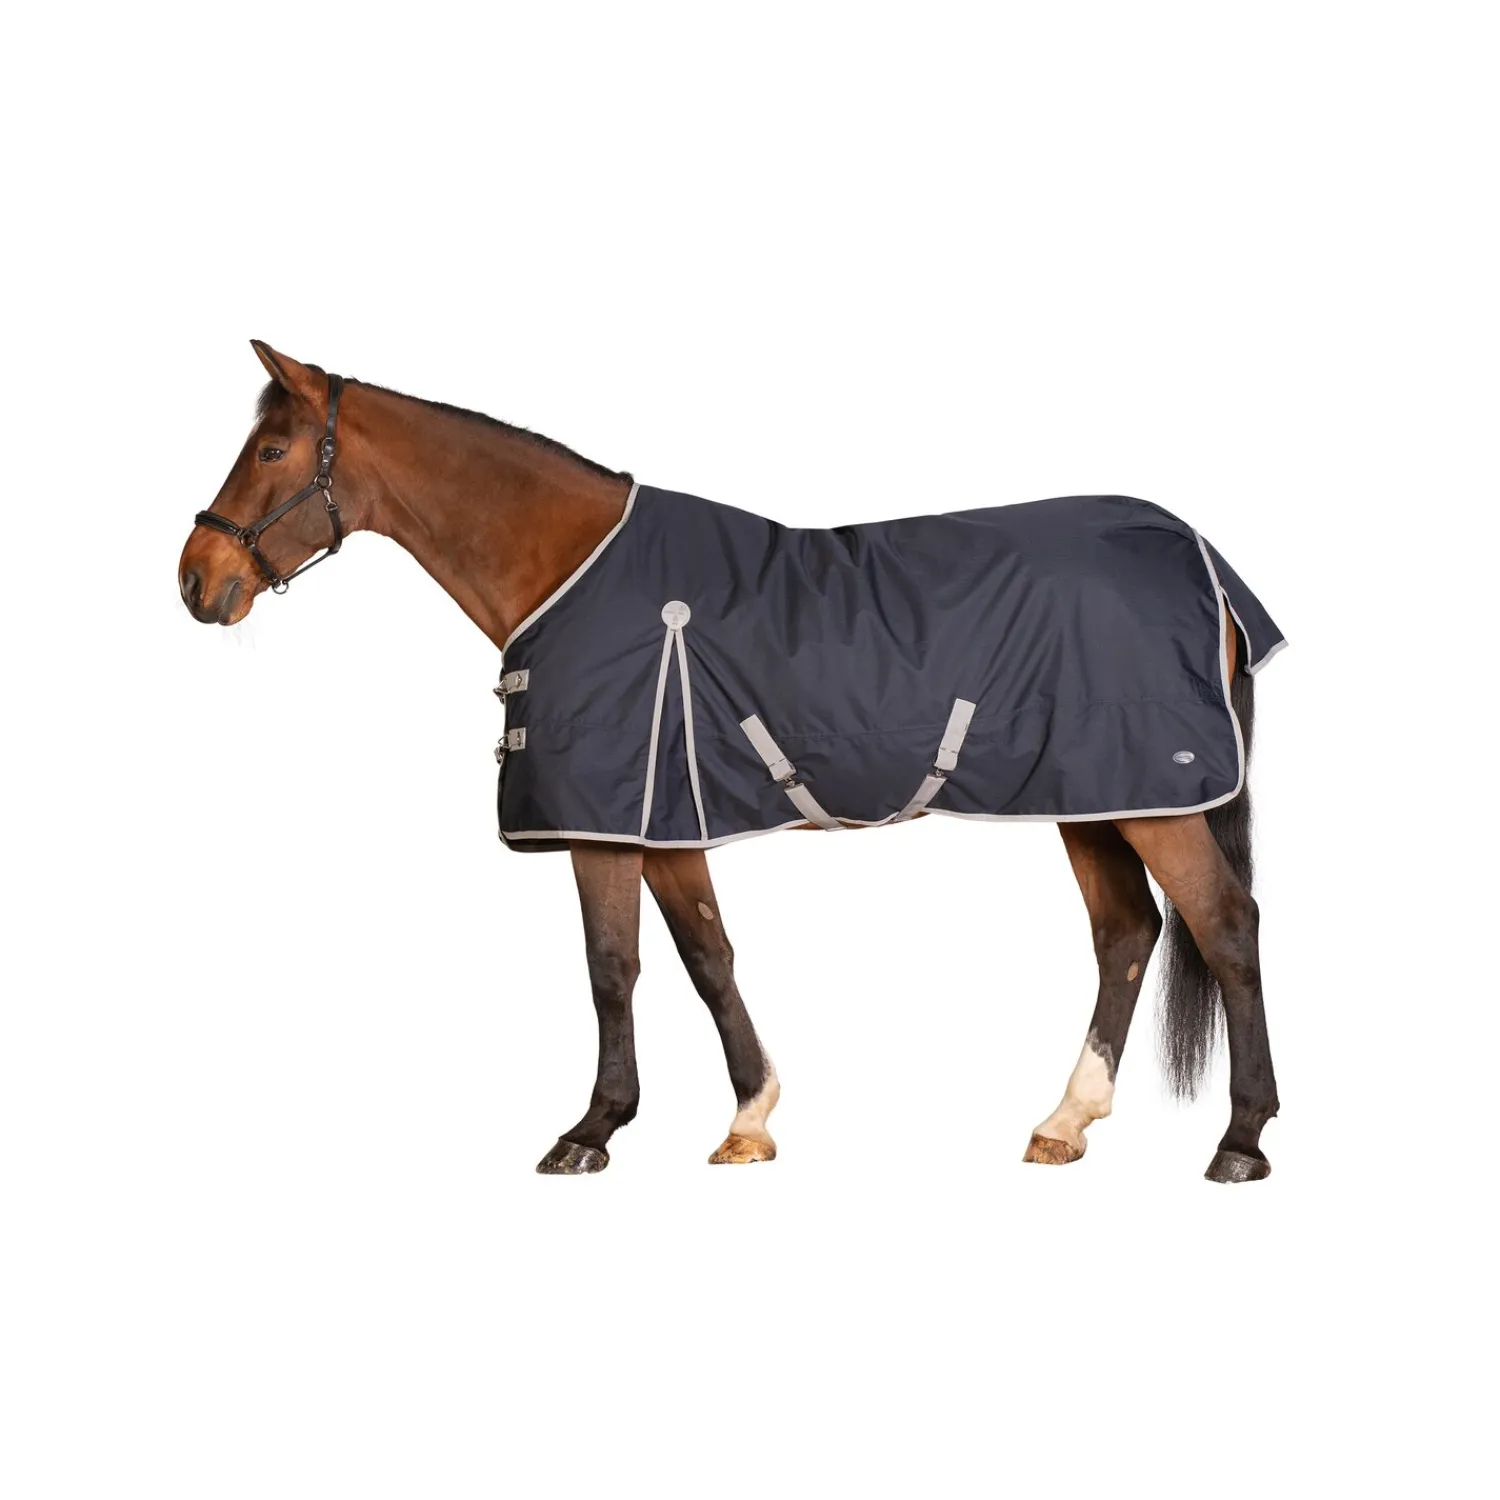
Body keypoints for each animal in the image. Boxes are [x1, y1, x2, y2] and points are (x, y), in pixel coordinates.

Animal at [179, 341, 1281, 1183]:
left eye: (272, 448)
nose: (197, 579)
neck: (571, 568)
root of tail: (1205, 561)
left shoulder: (604, 824)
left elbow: (611, 969)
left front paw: (591, 1131)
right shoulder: (666, 821)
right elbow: (707, 958)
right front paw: (751, 1119)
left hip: (1152, 798)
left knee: (1225, 926)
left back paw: (1240, 1141)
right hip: (1092, 795)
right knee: (1126, 932)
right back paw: (1065, 1122)